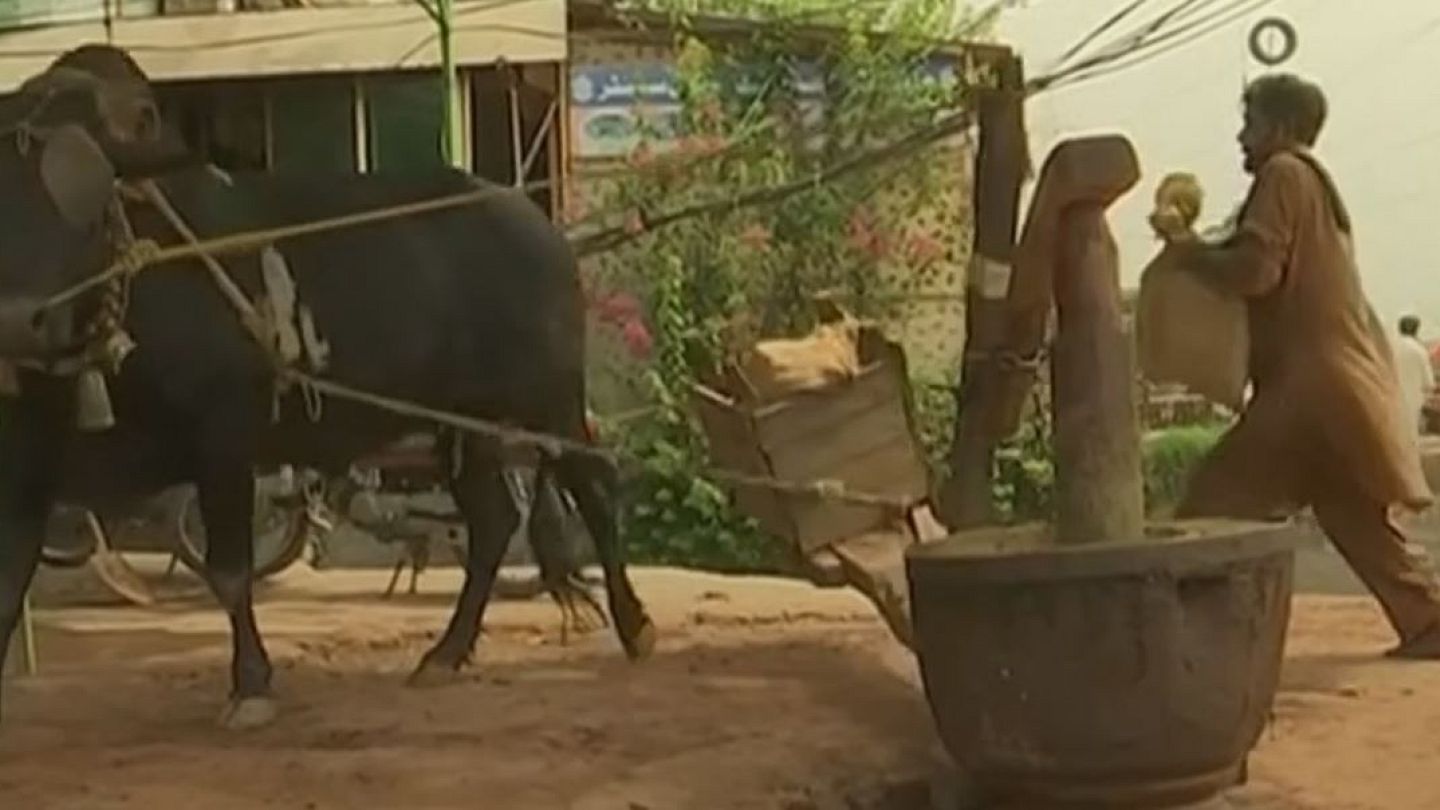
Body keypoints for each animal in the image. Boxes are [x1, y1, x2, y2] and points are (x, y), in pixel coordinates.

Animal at [0, 44, 653, 726]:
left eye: (80, 202)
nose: (20, 320)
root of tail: (535, 221)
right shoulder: (27, 463)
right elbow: (10, 579)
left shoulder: (223, 441)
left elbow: (229, 572)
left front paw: (251, 685)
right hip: (461, 421)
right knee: (494, 520)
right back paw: (444, 654)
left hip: (550, 397)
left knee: (593, 485)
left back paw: (634, 627)